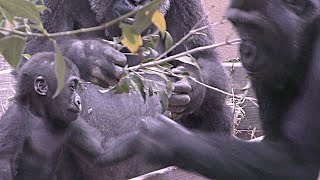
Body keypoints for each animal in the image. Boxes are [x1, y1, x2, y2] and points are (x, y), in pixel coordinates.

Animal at [0, 52, 137, 180]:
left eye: (75, 87)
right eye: (72, 87)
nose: (79, 101)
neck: (41, 115)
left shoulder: (72, 122)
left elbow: (102, 151)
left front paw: (142, 134)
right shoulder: (15, 117)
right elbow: (4, 163)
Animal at [21, 0, 231, 179]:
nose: (136, 2)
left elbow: (205, 59)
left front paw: (192, 86)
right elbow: (37, 52)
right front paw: (89, 55)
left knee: (215, 105)